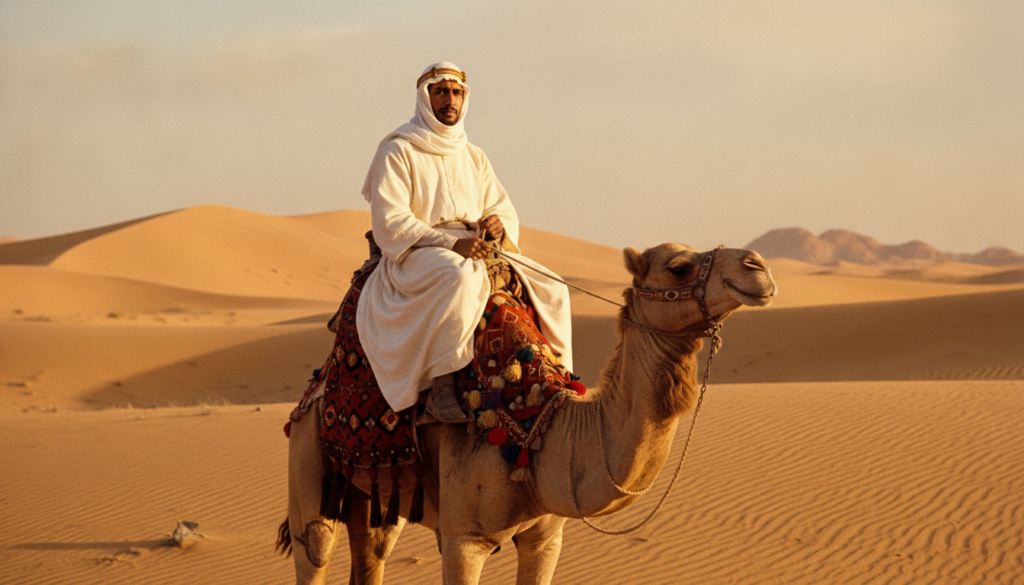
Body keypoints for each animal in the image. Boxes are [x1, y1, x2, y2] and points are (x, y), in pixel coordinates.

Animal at [280, 242, 776, 584]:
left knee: (372, 550)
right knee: (316, 544)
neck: (536, 426)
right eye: (679, 266)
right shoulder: (464, 540)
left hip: (376, 494)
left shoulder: (545, 538)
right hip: (306, 452)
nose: (758, 266)